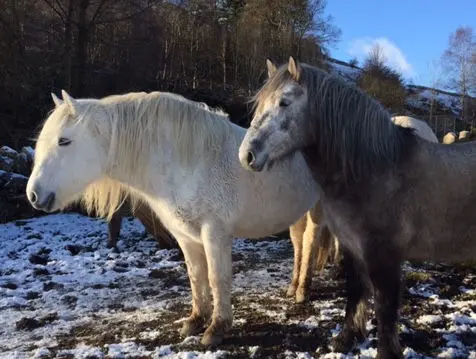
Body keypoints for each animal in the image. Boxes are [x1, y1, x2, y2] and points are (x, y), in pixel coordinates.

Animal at [25, 89, 320, 346]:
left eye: (64, 141)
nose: (33, 195)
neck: (189, 162)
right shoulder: (186, 236)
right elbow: (196, 277)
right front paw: (195, 321)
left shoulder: (215, 233)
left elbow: (217, 278)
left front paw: (216, 329)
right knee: (299, 246)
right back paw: (293, 288)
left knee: (309, 245)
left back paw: (302, 292)